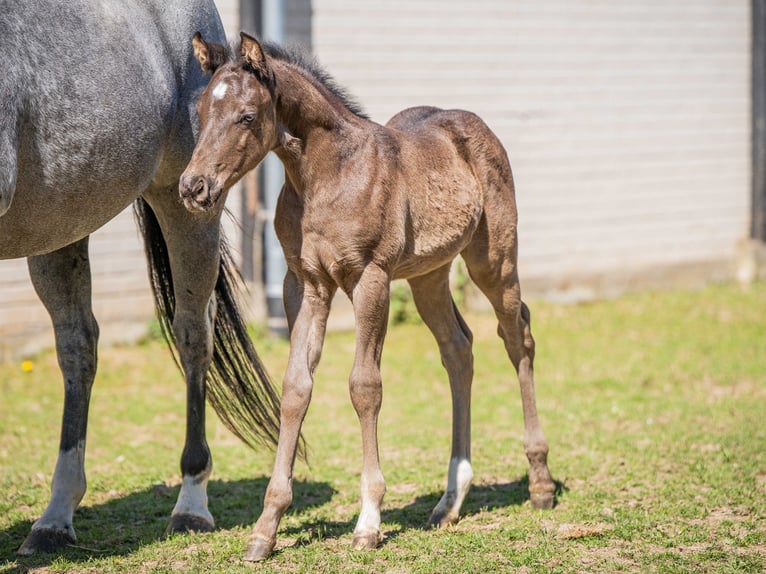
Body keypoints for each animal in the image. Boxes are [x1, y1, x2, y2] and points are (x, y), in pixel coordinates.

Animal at [1, 1, 283, 555]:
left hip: (185, 203)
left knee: (193, 335)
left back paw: (191, 504)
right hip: (61, 222)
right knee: (78, 345)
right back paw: (54, 518)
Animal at [182, 33, 557, 561]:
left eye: (248, 116)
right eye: (200, 109)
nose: (193, 188)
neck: (327, 176)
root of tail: (471, 124)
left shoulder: (370, 278)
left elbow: (365, 387)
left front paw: (369, 521)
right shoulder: (305, 283)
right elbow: (295, 388)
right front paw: (266, 527)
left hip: (494, 260)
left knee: (517, 337)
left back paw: (540, 483)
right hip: (428, 276)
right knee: (458, 349)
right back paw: (450, 500)